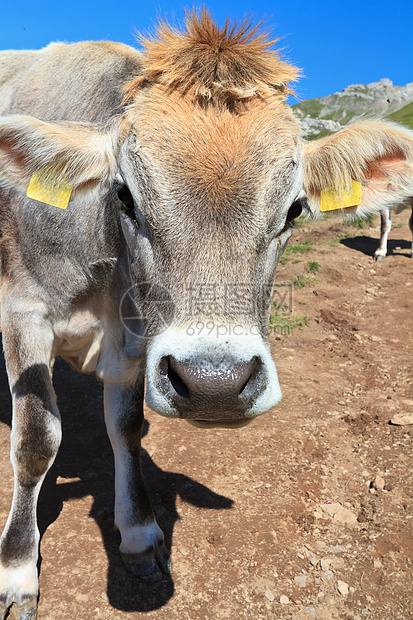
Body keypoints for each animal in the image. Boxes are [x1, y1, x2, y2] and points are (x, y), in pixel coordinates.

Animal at [0, 9, 412, 620]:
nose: (215, 383)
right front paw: (18, 570)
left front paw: (139, 534)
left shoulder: (135, 337)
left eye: (295, 209)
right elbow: (35, 440)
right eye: (124, 196)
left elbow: (126, 426)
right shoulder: (22, 309)